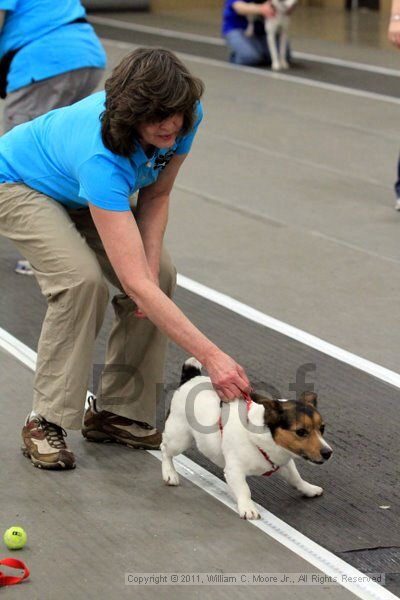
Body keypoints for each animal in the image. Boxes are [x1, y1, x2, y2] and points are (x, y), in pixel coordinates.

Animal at [161, 358, 332, 516]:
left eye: (322, 428)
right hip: (179, 438)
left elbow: (296, 478)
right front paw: (248, 508)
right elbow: (244, 490)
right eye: (301, 432)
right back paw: (169, 473)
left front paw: (309, 489)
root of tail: (191, 378)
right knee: (165, 449)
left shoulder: (285, 463)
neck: (266, 439)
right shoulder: (234, 470)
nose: (328, 453)